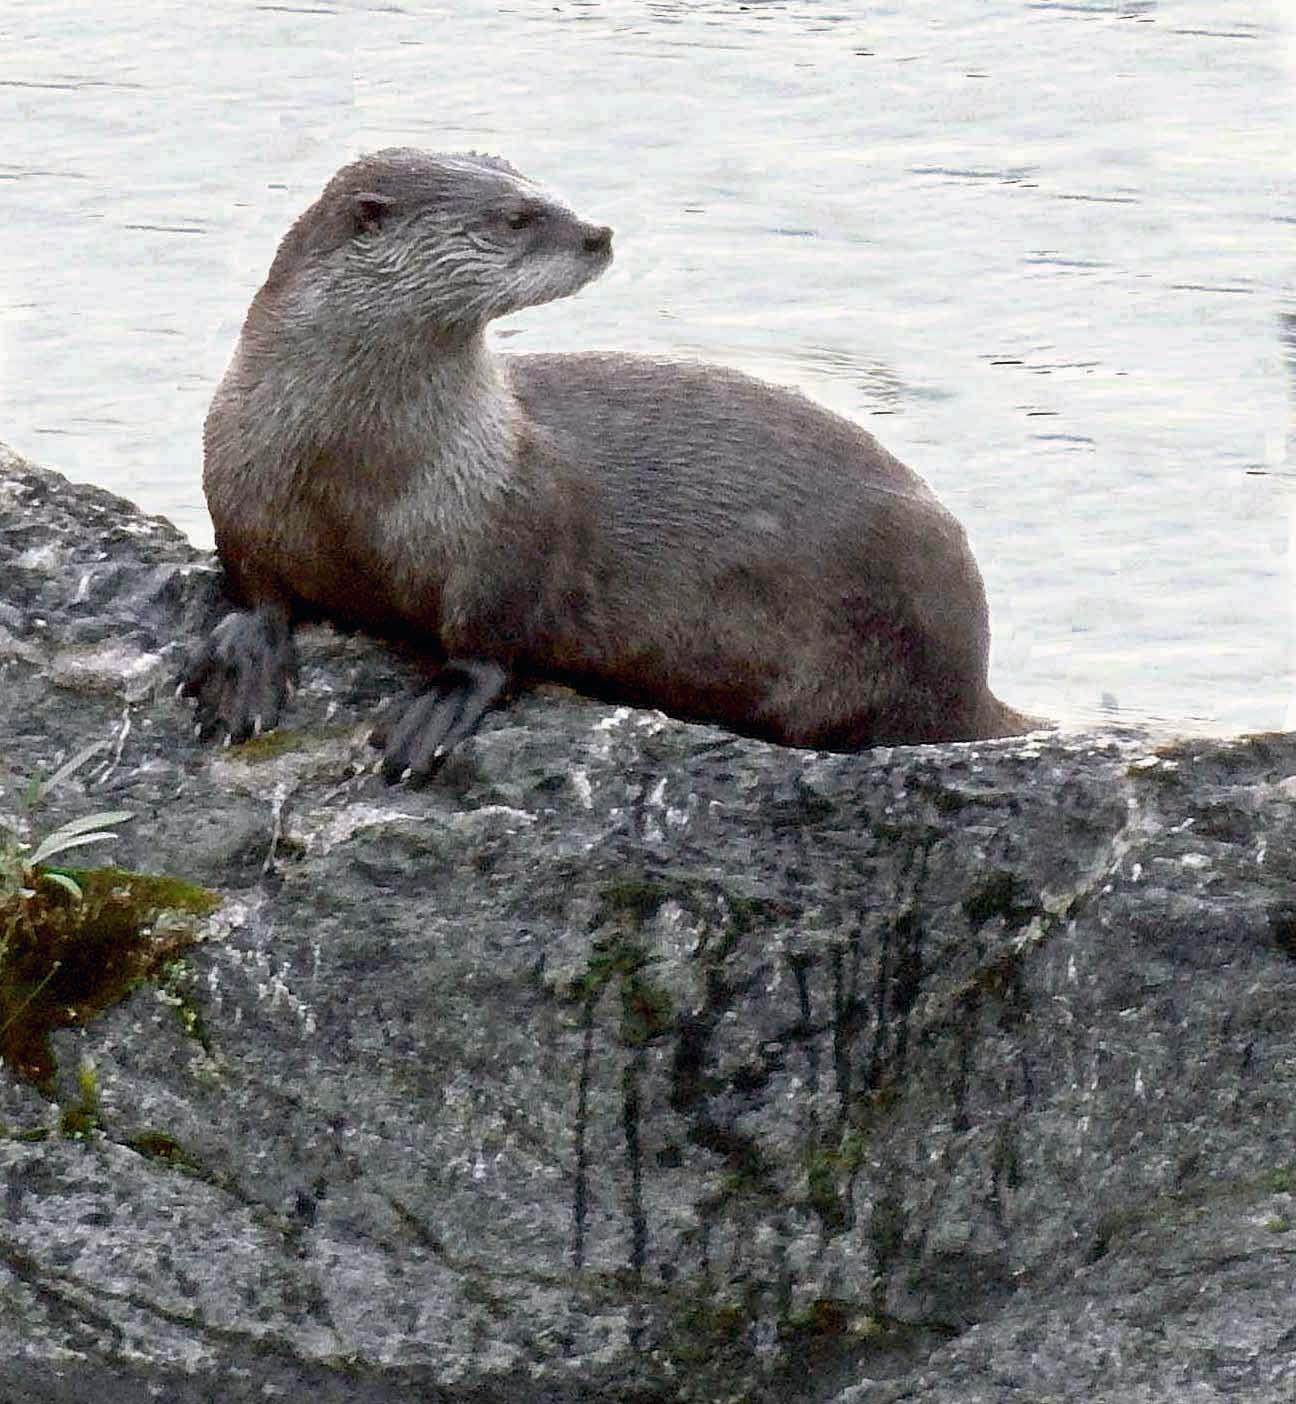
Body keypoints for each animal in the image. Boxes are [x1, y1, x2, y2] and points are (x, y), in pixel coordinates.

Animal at [181, 147, 1034, 781]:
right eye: (516, 217)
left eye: (538, 183)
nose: (598, 232)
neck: (358, 468)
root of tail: (974, 671)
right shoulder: (239, 474)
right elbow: (255, 582)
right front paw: (245, 660)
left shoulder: (510, 519)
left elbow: (490, 640)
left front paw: (438, 706)